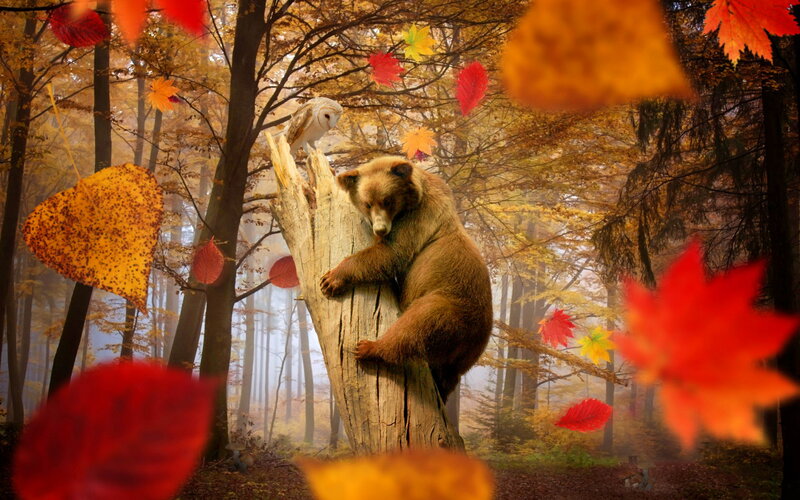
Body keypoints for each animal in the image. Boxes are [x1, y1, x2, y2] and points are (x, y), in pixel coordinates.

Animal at [319, 155, 493, 402]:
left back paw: (368, 348)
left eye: (387, 200)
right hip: (459, 354)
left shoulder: (419, 219)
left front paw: (331, 279)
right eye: (367, 203)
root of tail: (478, 339)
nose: (380, 229)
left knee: (415, 326)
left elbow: (390, 254)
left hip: (449, 306)